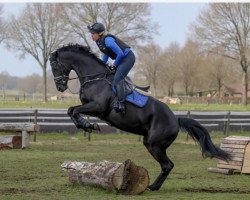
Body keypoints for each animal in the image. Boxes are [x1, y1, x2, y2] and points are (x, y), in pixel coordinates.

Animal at [49, 43, 231, 191]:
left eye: (55, 66)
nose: (60, 87)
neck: (95, 78)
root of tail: (176, 119)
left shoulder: (98, 107)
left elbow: (74, 111)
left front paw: (88, 126)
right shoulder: (91, 107)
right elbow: (71, 110)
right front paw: (87, 125)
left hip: (154, 144)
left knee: (167, 165)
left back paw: (153, 186)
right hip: (151, 143)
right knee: (167, 165)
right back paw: (153, 186)